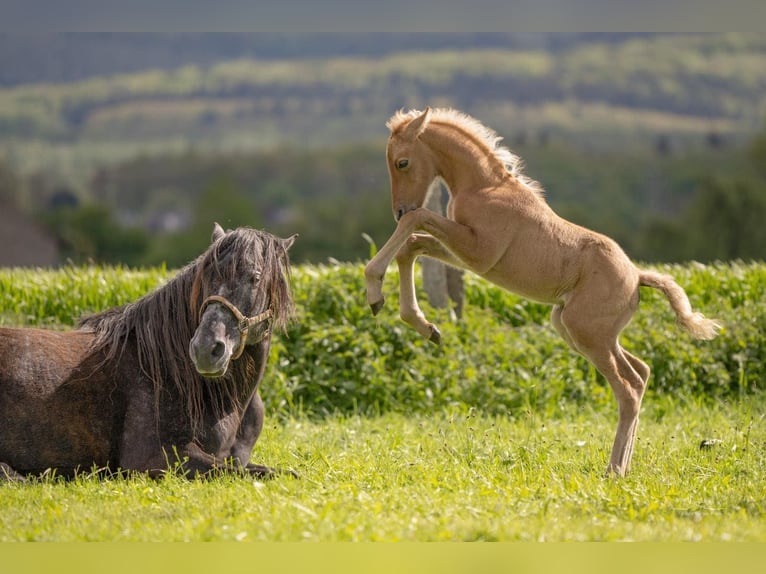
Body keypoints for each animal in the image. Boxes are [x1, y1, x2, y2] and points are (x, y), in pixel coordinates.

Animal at [364, 108, 720, 476]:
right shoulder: (464, 255)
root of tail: (637, 277)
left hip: (587, 334)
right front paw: (423, 325)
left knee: (627, 390)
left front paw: (375, 292)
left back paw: (614, 470)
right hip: (582, 332)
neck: (484, 186)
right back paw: (623, 466)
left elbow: (417, 222)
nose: (399, 209)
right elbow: (411, 246)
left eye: (402, 162)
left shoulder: (478, 252)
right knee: (641, 373)